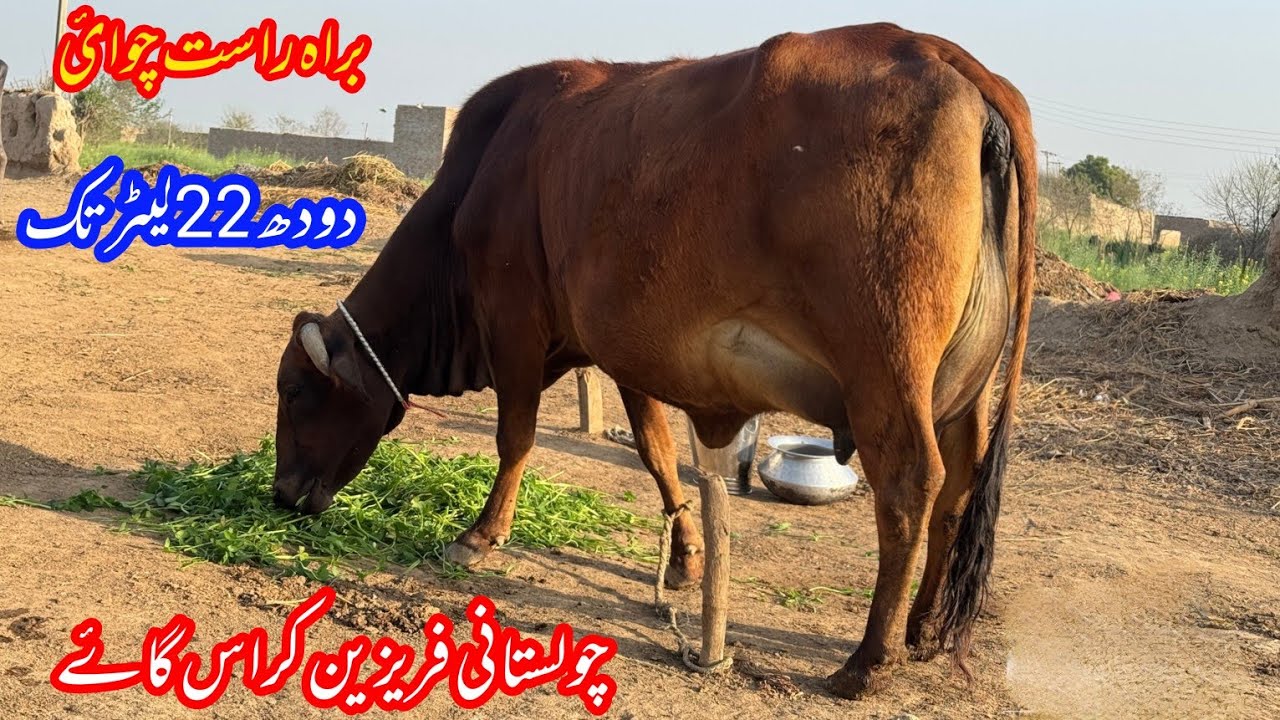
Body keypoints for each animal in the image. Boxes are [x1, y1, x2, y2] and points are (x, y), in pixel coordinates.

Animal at [270, 23, 1035, 697]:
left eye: (296, 393)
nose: (281, 495)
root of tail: (948, 57)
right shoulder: (622, 351)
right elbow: (656, 452)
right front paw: (687, 555)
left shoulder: (512, 324)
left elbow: (515, 438)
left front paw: (482, 534)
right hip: (964, 391)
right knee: (956, 490)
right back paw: (922, 630)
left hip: (886, 373)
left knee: (910, 485)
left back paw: (868, 662)